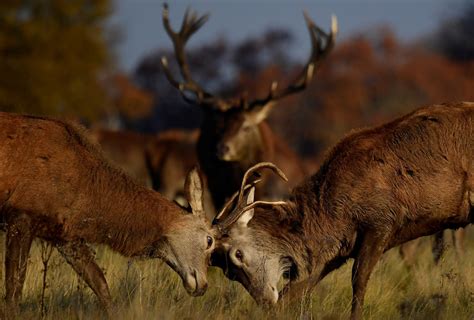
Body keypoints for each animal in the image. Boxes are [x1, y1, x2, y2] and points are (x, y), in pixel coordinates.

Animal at [0, 112, 215, 316]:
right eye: (209, 240)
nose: (204, 286)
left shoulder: (64, 235)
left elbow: (100, 283)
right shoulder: (21, 218)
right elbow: (14, 288)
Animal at [212, 102, 474, 320]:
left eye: (237, 255)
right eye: (227, 273)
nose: (265, 303)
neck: (334, 219)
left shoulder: (382, 221)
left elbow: (358, 281)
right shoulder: (340, 250)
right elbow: (297, 291)